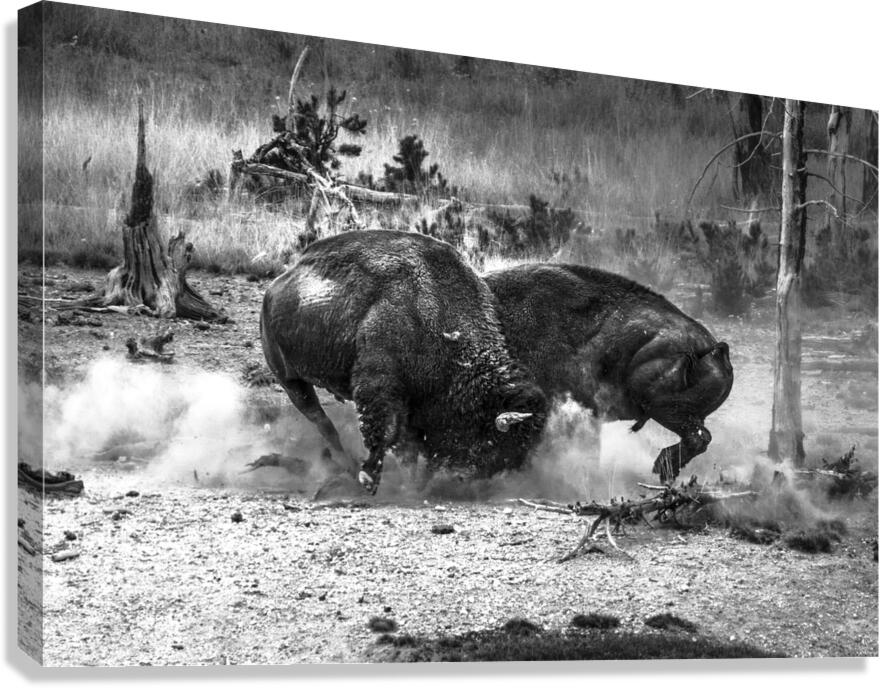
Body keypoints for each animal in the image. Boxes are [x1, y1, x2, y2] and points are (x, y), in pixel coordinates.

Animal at [260, 230, 546, 494]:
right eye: (491, 443)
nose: (466, 479)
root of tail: (274, 288)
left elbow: (407, 447)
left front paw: (412, 484)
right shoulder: (380, 387)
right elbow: (386, 433)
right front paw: (371, 479)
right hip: (290, 380)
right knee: (321, 421)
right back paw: (349, 469)